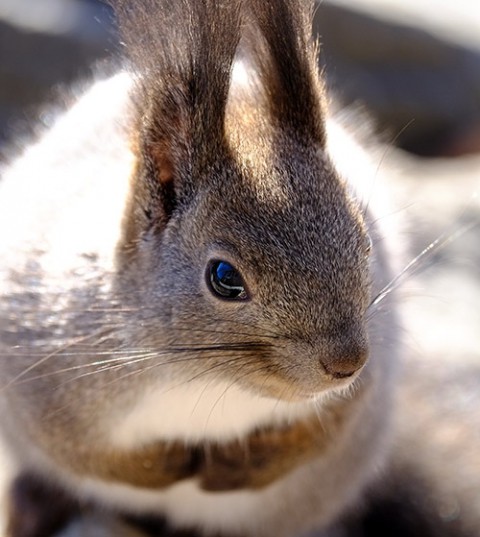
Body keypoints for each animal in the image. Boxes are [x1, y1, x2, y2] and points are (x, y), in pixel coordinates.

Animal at [0, 0, 446, 532]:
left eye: (365, 242)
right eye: (225, 278)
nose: (346, 364)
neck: (205, 378)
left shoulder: (367, 386)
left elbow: (327, 431)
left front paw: (234, 466)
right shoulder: (40, 376)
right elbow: (81, 453)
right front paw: (167, 464)